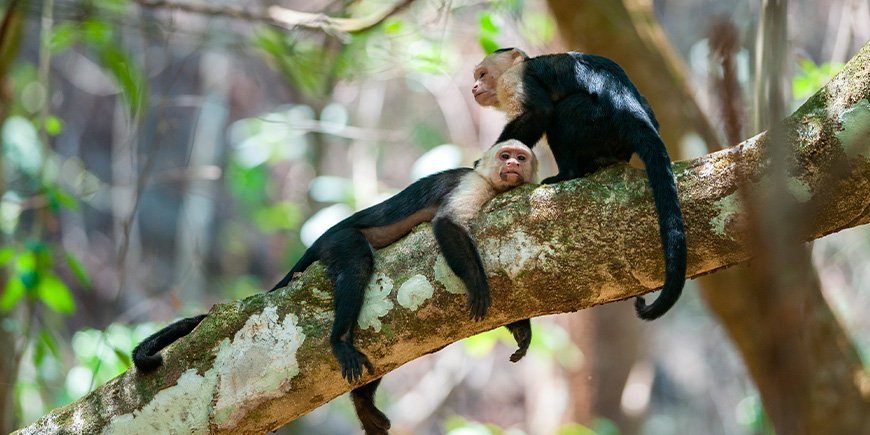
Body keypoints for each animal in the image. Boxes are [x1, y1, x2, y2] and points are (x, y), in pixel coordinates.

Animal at [132, 140, 538, 435]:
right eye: (505, 155)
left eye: (521, 157)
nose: (513, 165)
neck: (490, 181)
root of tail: (320, 239)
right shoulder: (474, 183)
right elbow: (447, 225)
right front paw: (478, 285)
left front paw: (521, 328)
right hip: (338, 241)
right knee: (357, 265)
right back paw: (338, 341)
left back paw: (364, 405)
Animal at [472, 48, 686, 320]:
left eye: (482, 74)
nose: (474, 87)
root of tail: (627, 105)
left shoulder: (514, 79)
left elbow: (539, 113)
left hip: (596, 117)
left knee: (562, 113)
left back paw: (567, 174)